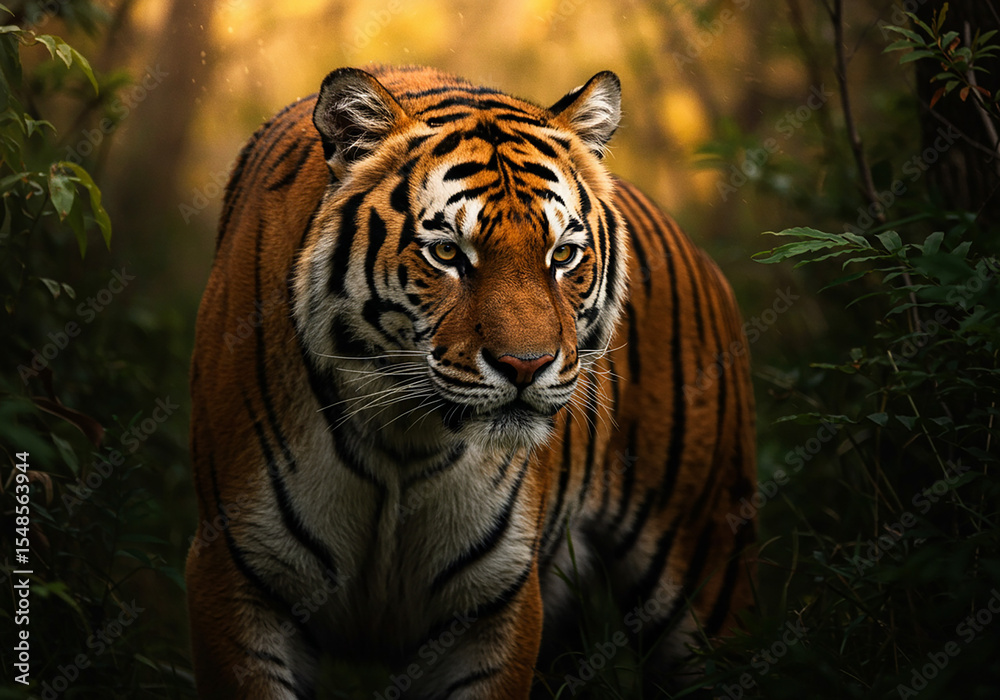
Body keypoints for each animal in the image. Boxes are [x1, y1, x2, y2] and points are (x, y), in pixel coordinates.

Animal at [186, 64, 756, 699]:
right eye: (446, 253)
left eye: (563, 255)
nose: (527, 365)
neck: (404, 445)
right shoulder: (237, 575)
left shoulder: (493, 606)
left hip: (707, 563)